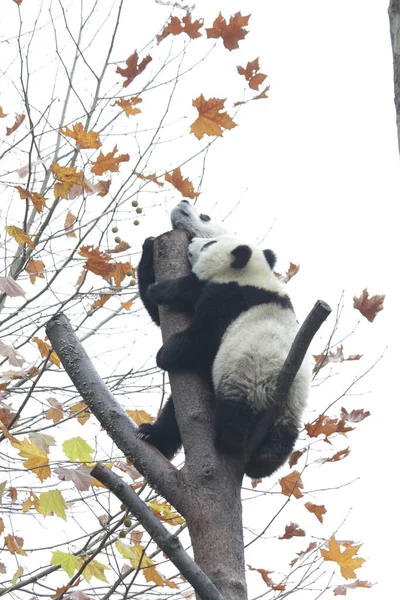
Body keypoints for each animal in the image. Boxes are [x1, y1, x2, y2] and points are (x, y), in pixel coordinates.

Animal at [136, 202, 228, 460]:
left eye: (205, 216)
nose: (184, 201)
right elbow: (156, 311)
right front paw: (148, 245)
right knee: (172, 414)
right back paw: (152, 436)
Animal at [143, 234, 310, 478]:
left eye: (209, 243)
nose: (191, 240)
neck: (251, 274)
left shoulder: (228, 298)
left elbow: (201, 339)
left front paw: (165, 353)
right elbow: (159, 314)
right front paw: (148, 246)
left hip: (246, 374)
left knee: (234, 411)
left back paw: (228, 440)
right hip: (291, 408)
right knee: (282, 440)